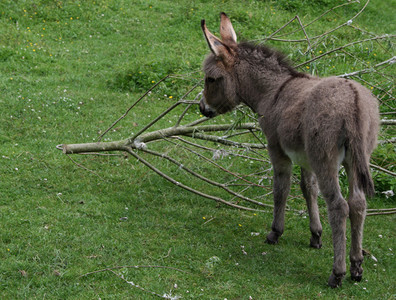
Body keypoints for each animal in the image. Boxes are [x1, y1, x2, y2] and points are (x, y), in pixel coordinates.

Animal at [201, 12, 380, 288]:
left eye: (211, 79)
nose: (201, 108)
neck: (274, 90)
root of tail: (353, 101)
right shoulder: (305, 159)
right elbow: (308, 189)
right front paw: (316, 235)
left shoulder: (278, 150)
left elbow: (281, 190)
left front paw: (275, 232)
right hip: (356, 159)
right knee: (358, 204)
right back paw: (356, 266)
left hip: (326, 159)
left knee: (339, 206)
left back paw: (337, 273)